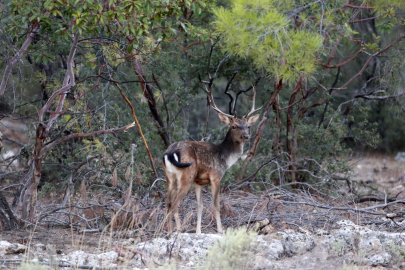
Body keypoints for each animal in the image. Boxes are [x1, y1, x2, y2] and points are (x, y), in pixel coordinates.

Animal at [163, 76, 260, 234]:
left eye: (248, 126)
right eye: (234, 126)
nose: (246, 136)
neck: (225, 159)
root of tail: (170, 152)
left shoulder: (198, 182)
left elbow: (200, 206)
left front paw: (198, 231)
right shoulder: (215, 176)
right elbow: (216, 204)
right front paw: (220, 229)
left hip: (170, 177)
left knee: (167, 202)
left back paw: (169, 230)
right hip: (186, 175)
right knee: (175, 203)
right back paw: (179, 229)